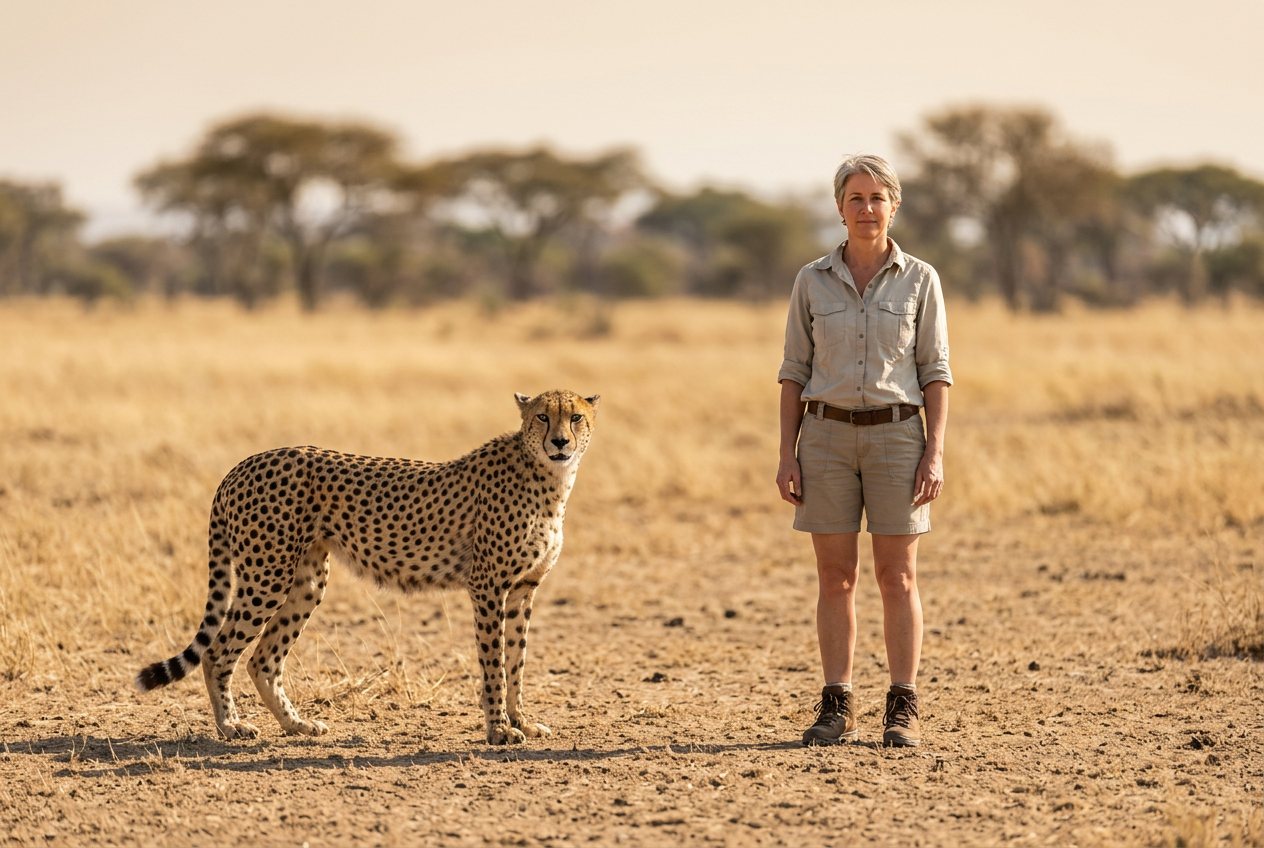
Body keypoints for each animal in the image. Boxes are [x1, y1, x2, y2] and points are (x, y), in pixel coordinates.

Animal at [136, 389, 599, 745]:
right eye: (542, 416)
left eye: (575, 416)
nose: (560, 442)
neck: (548, 479)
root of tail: (243, 464)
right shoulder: (488, 586)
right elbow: (494, 663)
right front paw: (499, 730)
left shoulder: (523, 589)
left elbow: (516, 661)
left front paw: (522, 721)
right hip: (267, 576)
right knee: (218, 652)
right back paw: (230, 726)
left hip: (306, 582)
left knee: (262, 659)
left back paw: (296, 725)